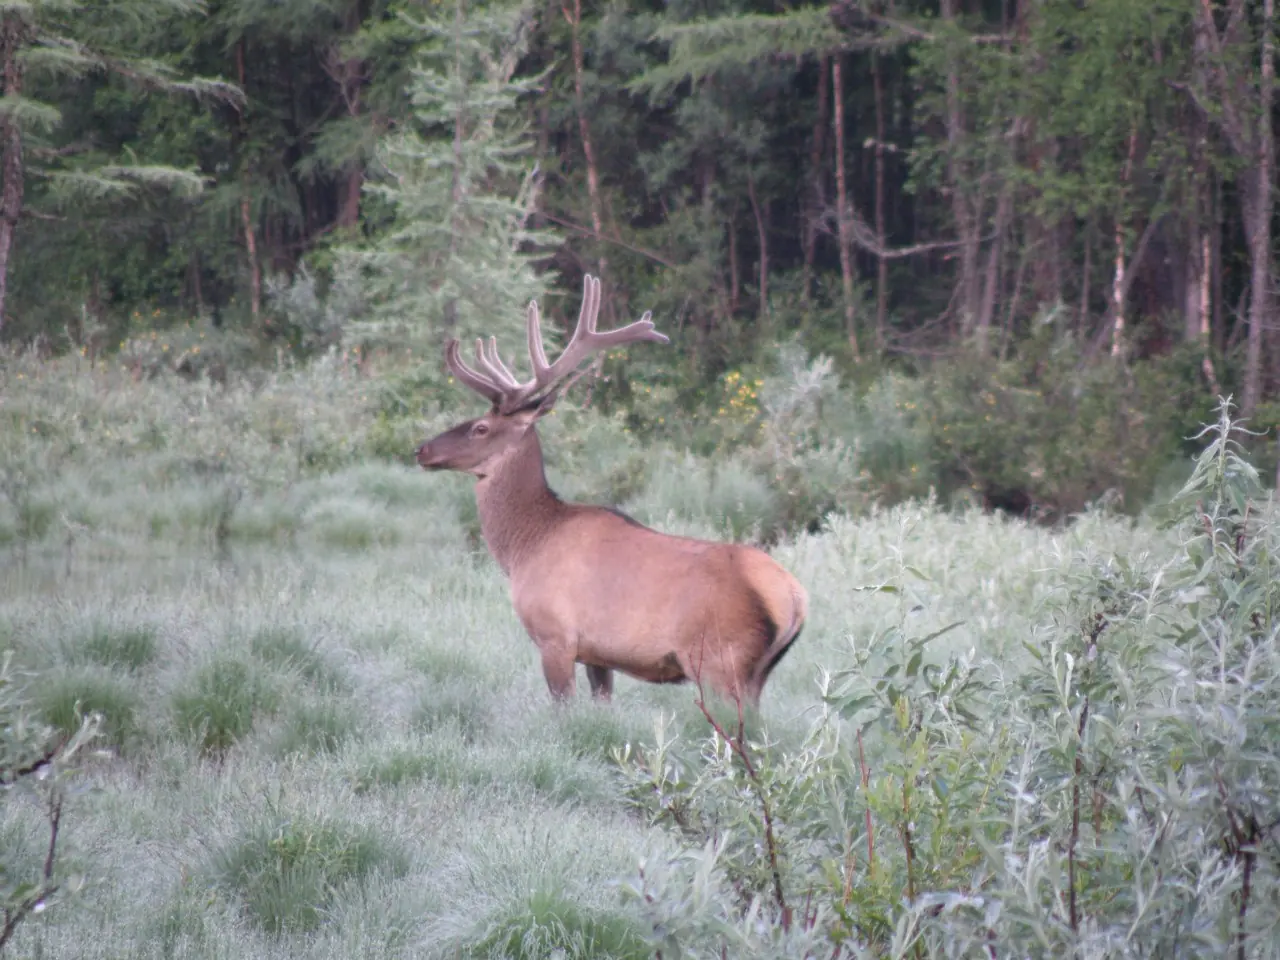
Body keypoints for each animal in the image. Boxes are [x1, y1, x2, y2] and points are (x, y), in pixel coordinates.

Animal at [415, 276, 807, 705]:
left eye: (481, 428)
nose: (422, 450)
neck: (525, 546)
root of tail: (794, 599)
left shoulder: (556, 637)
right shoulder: (598, 655)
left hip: (719, 662)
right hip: (753, 675)